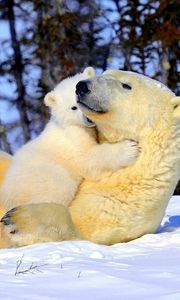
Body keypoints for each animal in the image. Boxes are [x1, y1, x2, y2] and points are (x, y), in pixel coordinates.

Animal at [0, 69, 180, 246]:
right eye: (105, 73)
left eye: (126, 85)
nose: (82, 87)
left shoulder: (117, 205)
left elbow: (83, 228)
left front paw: (16, 219)